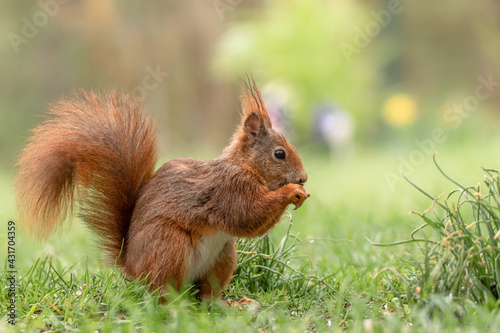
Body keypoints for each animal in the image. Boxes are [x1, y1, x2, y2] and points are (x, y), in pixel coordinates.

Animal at [15, 80, 308, 298]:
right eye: (279, 154)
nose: (304, 178)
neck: (244, 166)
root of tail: (131, 266)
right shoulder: (229, 189)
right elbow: (247, 216)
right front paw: (291, 192)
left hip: (224, 256)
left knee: (205, 293)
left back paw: (226, 305)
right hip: (169, 245)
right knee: (162, 291)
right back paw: (176, 306)